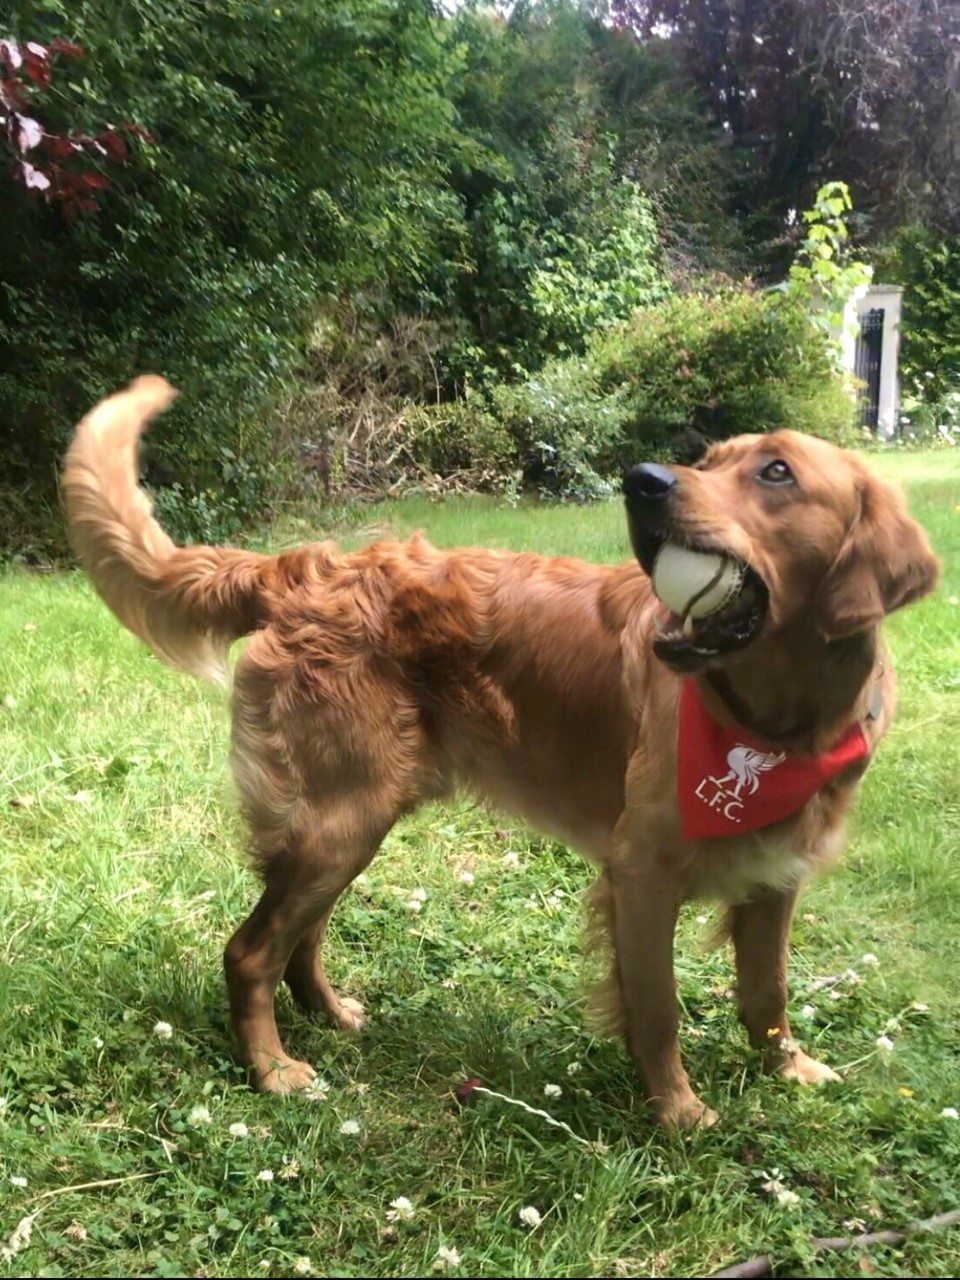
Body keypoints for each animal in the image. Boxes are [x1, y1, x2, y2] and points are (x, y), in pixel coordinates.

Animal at [65, 373, 942, 1126]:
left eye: (776, 471)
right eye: (707, 461)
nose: (643, 480)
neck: (777, 726)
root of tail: (309, 567)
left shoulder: (775, 873)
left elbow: (768, 993)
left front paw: (788, 1070)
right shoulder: (641, 871)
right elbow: (658, 1009)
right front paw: (678, 1113)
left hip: (343, 821)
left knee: (297, 934)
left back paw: (330, 1014)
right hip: (342, 816)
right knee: (250, 951)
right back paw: (274, 1070)